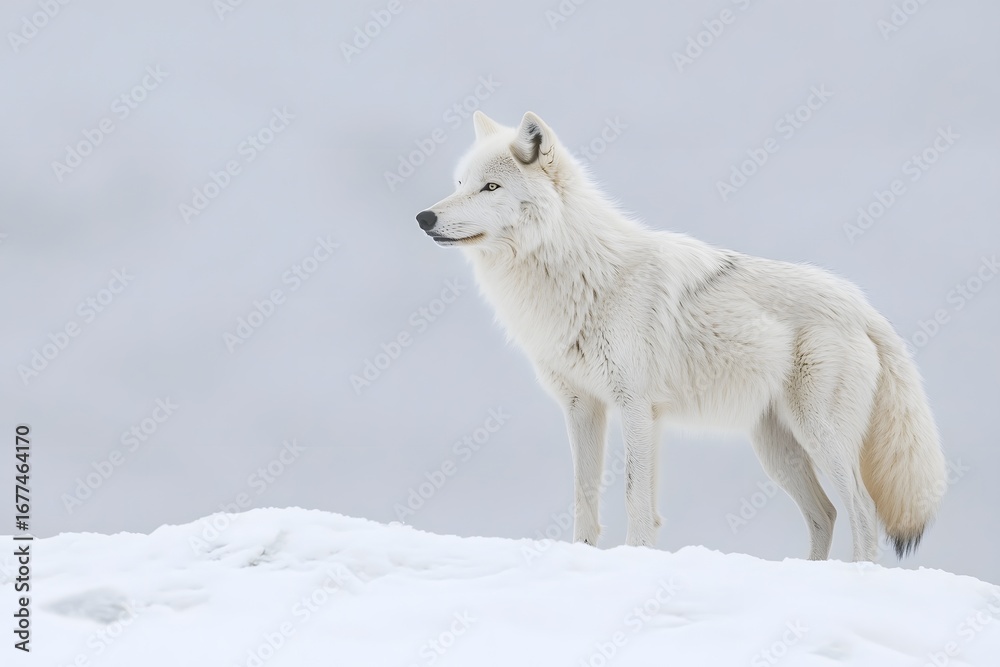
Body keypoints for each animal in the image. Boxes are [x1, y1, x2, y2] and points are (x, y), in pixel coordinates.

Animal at [416, 110, 946, 561]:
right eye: (460, 184)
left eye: (490, 186)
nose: (425, 218)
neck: (580, 273)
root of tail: (862, 306)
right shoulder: (583, 406)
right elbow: (584, 495)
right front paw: (583, 556)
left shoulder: (635, 407)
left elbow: (634, 497)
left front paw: (636, 559)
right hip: (779, 450)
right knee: (826, 513)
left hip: (819, 435)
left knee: (862, 511)